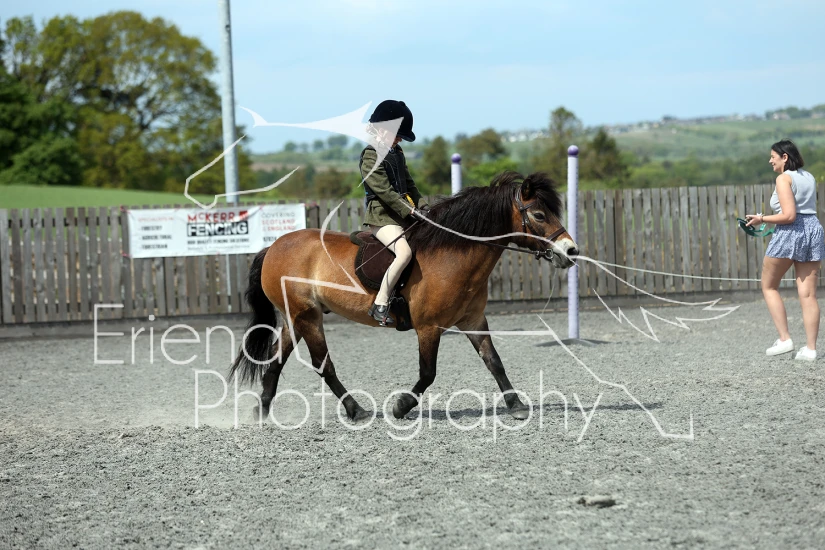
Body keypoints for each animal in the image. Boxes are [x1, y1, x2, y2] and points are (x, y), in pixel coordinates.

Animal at [229, 171, 579, 422]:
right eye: (538, 215)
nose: (571, 251)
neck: (453, 255)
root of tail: (274, 246)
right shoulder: (428, 327)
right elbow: (428, 373)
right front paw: (401, 406)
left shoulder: (473, 319)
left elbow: (494, 362)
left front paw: (516, 404)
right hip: (308, 317)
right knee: (322, 365)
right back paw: (357, 411)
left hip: (295, 317)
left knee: (276, 360)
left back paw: (260, 413)